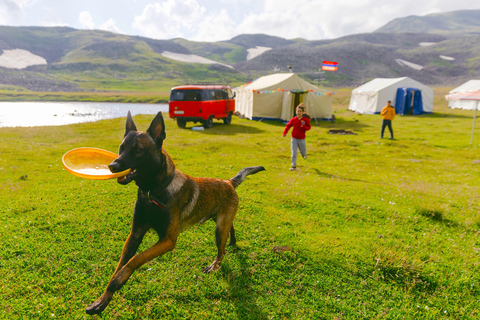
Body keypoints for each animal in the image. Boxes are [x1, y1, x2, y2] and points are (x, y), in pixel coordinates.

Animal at [86, 111, 266, 314]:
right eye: (121, 148)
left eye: (138, 150)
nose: (112, 166)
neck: (153, 192)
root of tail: (228, 182)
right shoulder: (135, 234)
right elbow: (121, 264)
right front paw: (103, 300)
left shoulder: (168, 240)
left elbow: (134, 261)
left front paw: (118, 281)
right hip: (221, 222)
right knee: (231, 229)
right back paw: (233, 242)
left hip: (219, 231)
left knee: (222, 252)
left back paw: (214, 266)